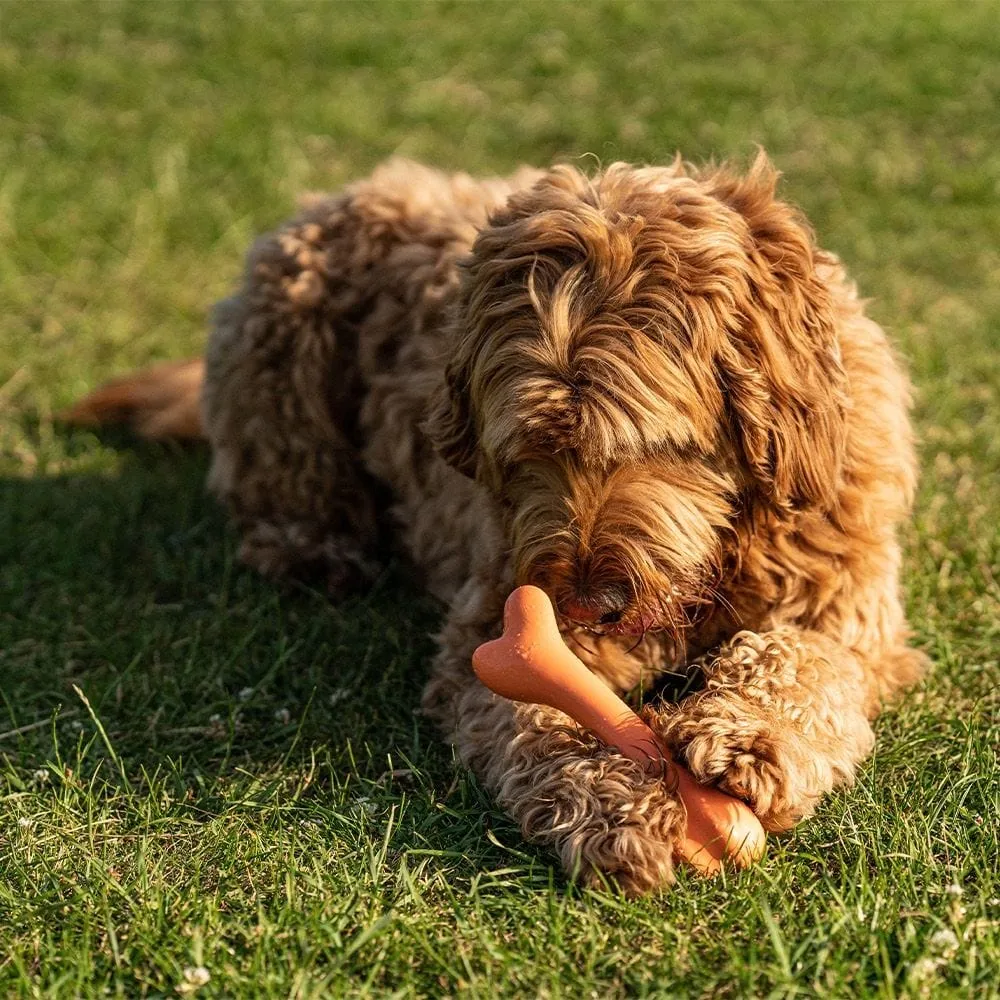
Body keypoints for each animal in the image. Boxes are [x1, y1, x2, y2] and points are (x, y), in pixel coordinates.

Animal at [62, 154, 924, 892]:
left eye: (651, 444)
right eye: (531, 451)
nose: (587, 604)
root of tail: (355, 189)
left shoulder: (848, 605)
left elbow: (808, 661)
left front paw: (747, 738)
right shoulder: (497, 627)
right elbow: (544, 713)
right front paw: (614, 807)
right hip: (276, 342)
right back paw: (316, 551)